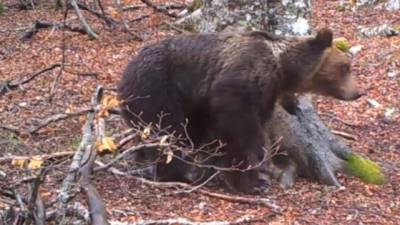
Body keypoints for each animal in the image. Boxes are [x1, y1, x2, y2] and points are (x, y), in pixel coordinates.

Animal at [117, 28, 364, 192]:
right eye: (345, 67)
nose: (357, 92)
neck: (282, 69)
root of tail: (125, 73)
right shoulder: (242, 80)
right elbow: (239, 131)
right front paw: (252, 180)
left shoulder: (263, 96)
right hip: (157, 88)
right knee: (167, 131)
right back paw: (179, 172)